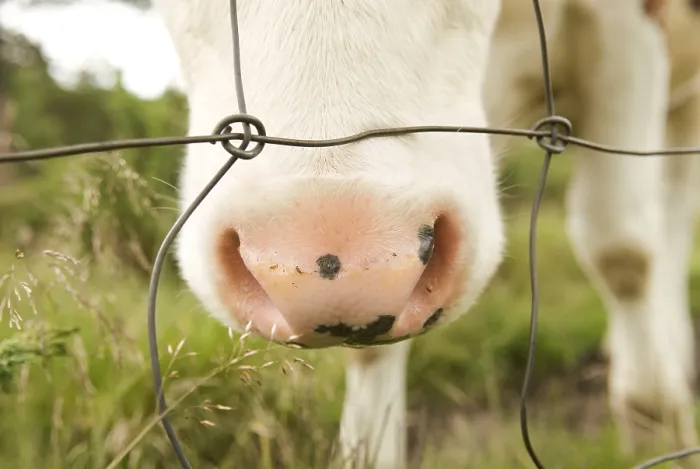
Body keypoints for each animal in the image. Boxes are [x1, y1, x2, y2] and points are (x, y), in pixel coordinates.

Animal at [152, 0, 700, 467]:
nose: (344, 269)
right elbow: (373, 352)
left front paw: (652, 423)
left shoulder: (631, 27)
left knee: (670, 220)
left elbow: (621, 248)